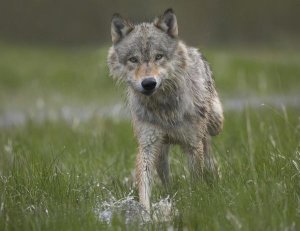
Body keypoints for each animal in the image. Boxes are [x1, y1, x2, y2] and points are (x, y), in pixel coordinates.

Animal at [107, 8, 223, 211]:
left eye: (158, 56)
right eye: (133, 59)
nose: (148, 83)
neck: (164, 108)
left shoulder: (193, 146)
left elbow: (196, 180)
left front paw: (195, 201)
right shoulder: (147, 146)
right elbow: (144, 186)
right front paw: (145, 212)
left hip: (214, 124)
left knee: (210, 155)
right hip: (161, 152)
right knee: (166, 179)